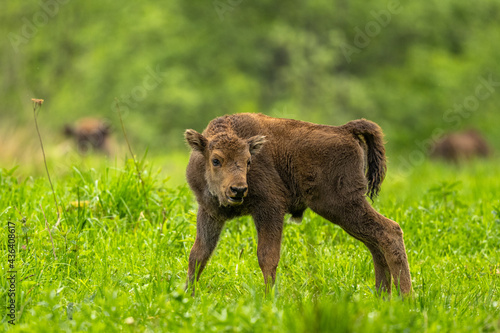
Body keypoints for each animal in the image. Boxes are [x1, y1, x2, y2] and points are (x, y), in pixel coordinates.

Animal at [186, 113, 412, 294]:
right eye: (216, 160)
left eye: (248, 161)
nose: (238, 190)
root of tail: (345, 130)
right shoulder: (210, 213)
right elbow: (199, 254)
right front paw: (188, 295)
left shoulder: (269, 210)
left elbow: (267, 256)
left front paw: (269, 297)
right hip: (346, 212)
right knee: (375, 243)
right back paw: (382, 296)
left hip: (344, 206)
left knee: (389, 231)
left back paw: (405, 298)